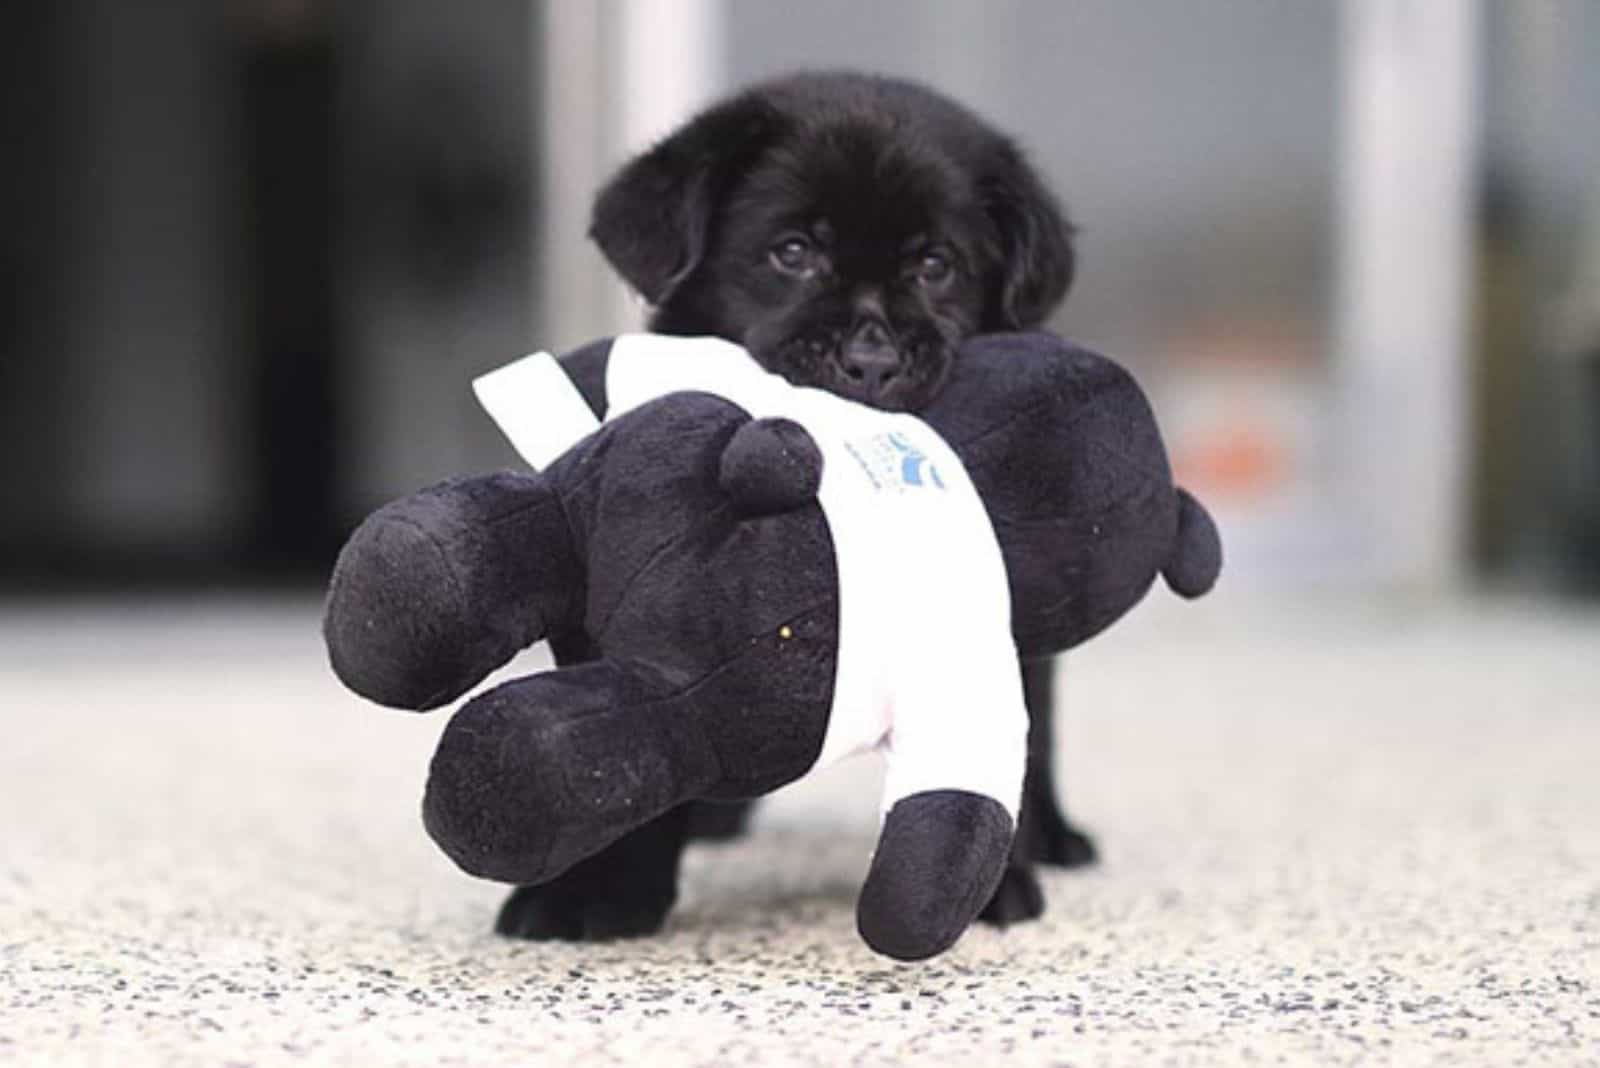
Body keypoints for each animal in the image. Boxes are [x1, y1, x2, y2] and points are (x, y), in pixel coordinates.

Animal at [499, 70, 1094, 940]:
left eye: (936, 265)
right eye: (793, 253)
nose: (872, 358)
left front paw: (989, 885)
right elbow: (621, 756)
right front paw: (596, 891)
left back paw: (1056, 836)